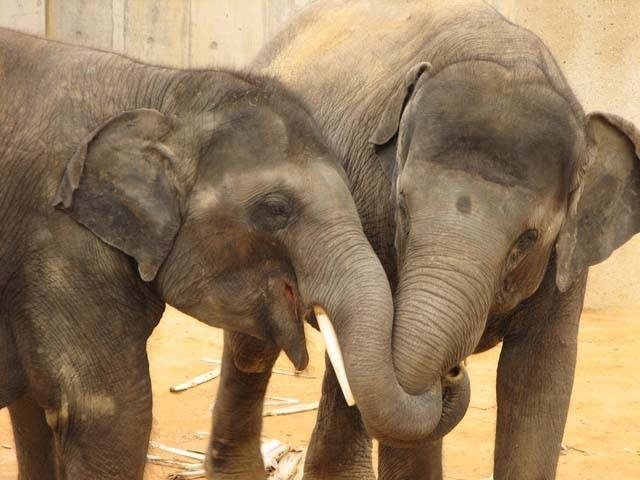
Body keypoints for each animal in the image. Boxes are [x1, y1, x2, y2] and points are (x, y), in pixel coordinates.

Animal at [206, 0, 640, 480]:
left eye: (529, 239)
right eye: (402, 206)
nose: (453, 372)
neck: (507, 55)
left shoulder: (568, 263)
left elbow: (540, 378)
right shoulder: (370, 207)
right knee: (252, 349)